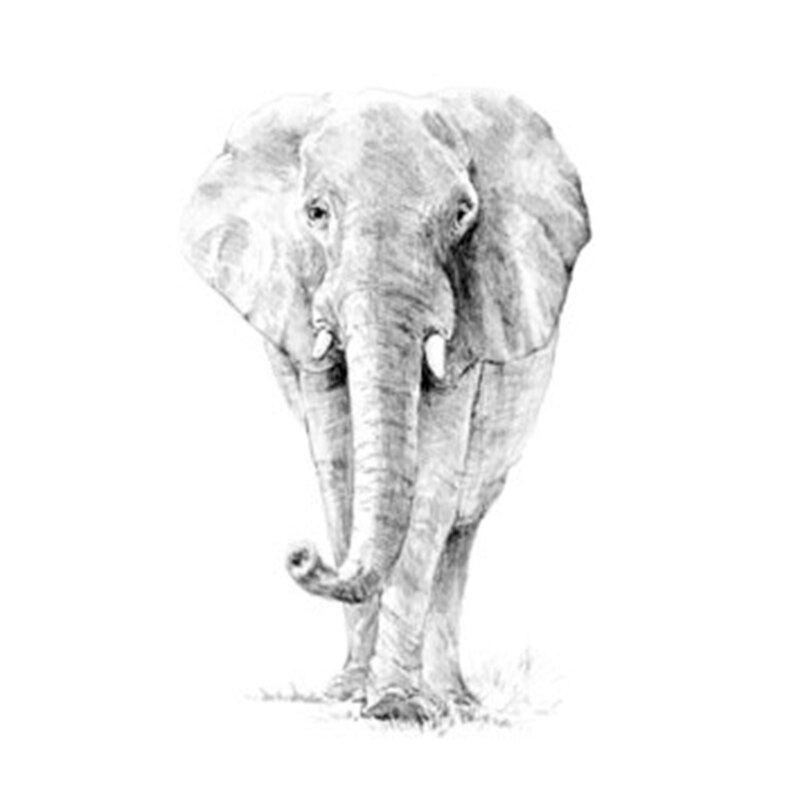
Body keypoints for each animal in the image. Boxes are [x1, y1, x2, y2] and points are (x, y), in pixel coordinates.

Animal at [181, 89, 590, 722]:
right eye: (316, 213)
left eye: (463, 214)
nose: (299, 555)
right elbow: (339, 467)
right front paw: (351, 693)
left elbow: (434, 480)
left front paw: (396, 706)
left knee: (461, 525)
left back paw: (454, 700)